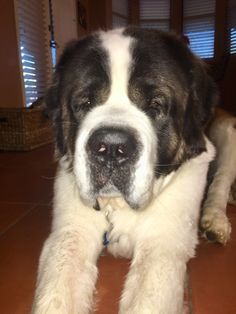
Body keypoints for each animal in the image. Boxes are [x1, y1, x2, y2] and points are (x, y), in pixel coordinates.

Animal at [31, 28, 236, 312]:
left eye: (155, 105)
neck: (117, 207)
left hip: (228, 130)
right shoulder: (70, 231)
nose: (111, 148)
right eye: (85, 102)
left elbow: (146, 301)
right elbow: (55, 296)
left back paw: (215, 221)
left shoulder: (163, 242)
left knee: (221, 181)